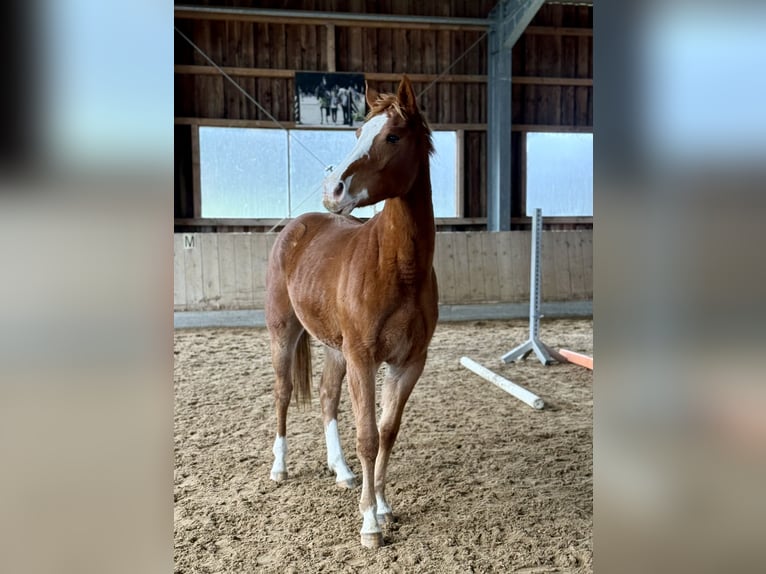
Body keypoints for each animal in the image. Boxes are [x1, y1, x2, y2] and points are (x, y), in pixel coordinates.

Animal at [265, 75, 438, 548]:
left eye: (392, 136)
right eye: (358, 132)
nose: (333, 191)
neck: (397, 267)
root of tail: (297, 226)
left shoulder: (408, 363)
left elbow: (387, 432)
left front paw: (382, 504)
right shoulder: (363, 358)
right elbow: (367, 437)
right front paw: (369, 524)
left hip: (334, 348)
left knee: (326, 397)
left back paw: (341, 471)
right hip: (284, 334)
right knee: (284, 393)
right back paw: (279, 468)